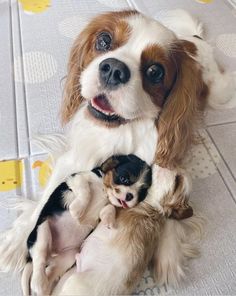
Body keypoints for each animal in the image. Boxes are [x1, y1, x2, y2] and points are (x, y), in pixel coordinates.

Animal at [21, 154, 151, 294]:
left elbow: (110, 208)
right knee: (39, 260)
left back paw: (45, 288)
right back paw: (39, 284)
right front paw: (77, 210)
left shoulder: (105, 205)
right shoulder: (77, 178)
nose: (130, 196)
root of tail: (53, 252)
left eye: (141, 192)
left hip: (68, 256)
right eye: (124, 179)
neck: (104, 190)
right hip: (42, 230)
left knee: (50, 271)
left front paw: (108, 220)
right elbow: (85, 190)